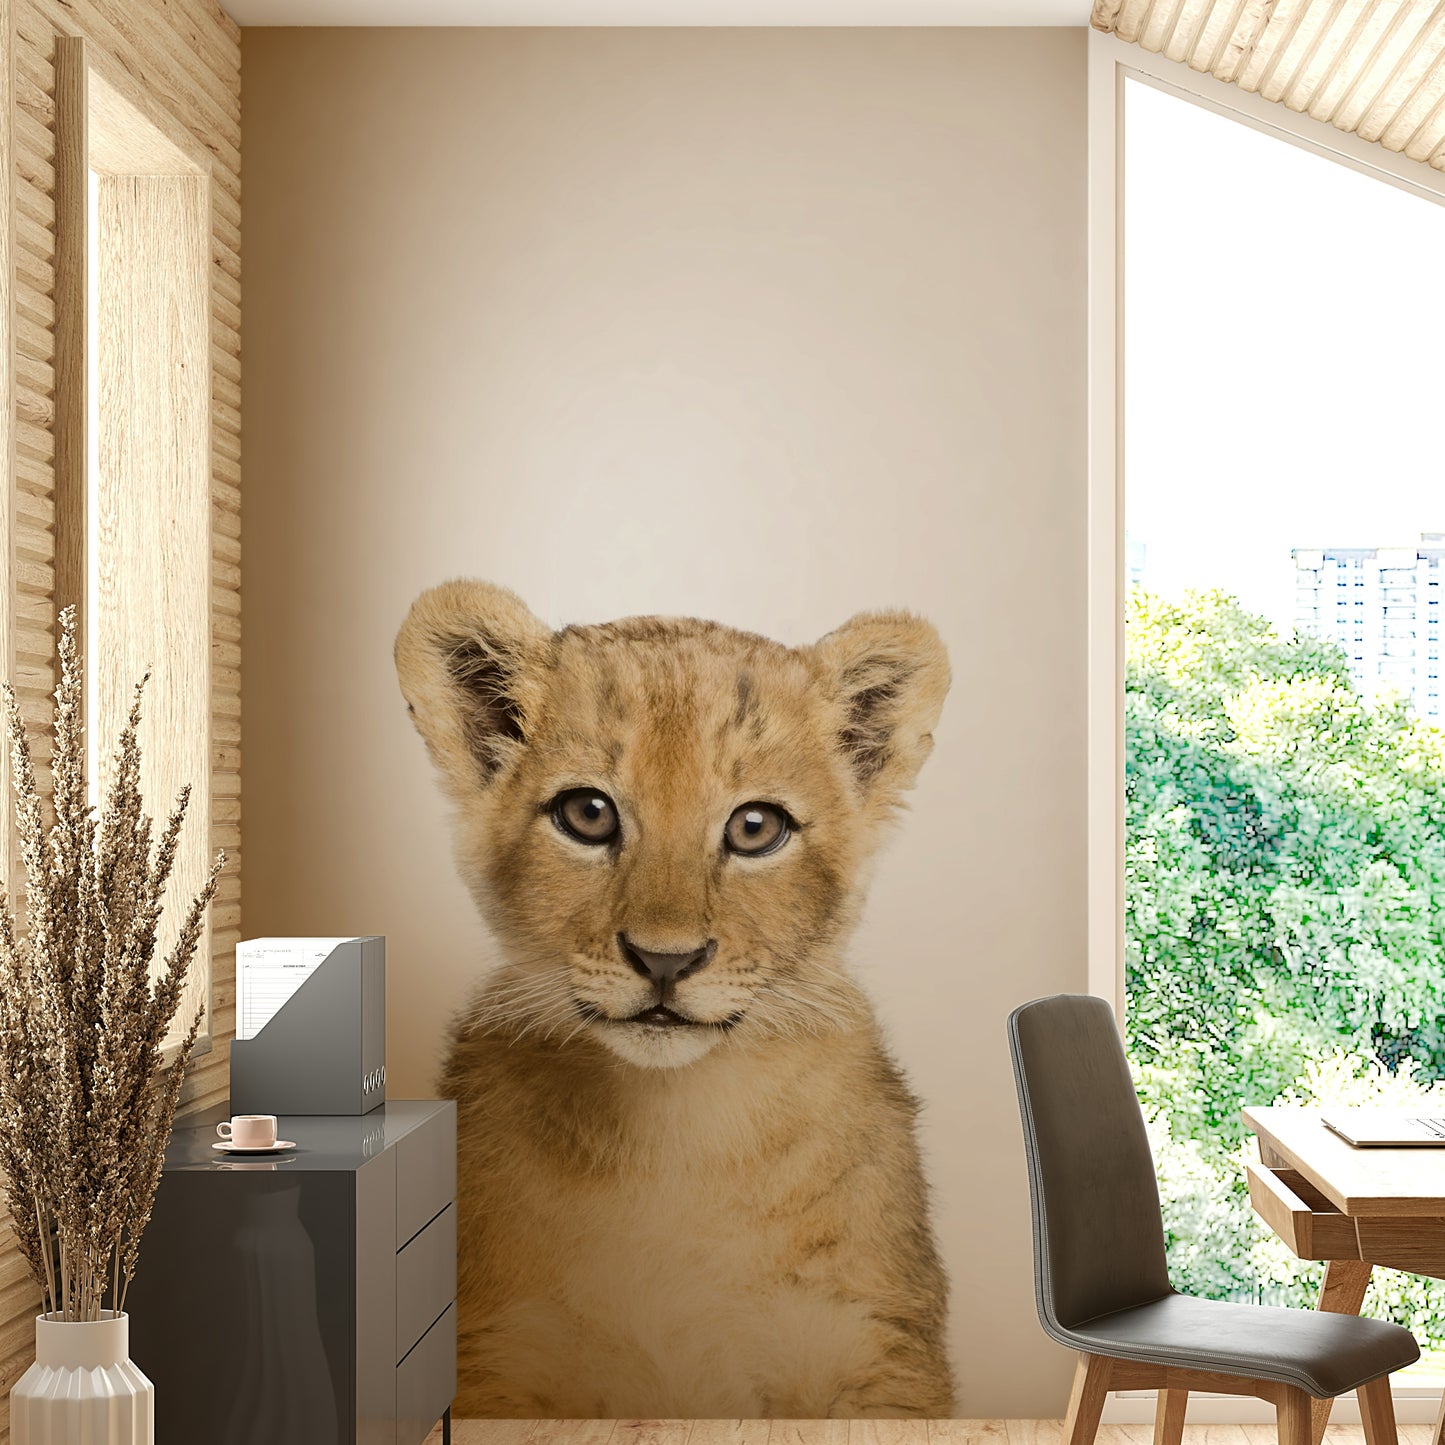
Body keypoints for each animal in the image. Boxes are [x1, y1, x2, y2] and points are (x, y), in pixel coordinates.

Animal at [395, 580, 955, 1419]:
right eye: (587, 813)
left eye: (755, 827)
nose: (666, 959)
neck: (673, 1129)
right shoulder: (497, 1349)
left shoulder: (875, 1346)